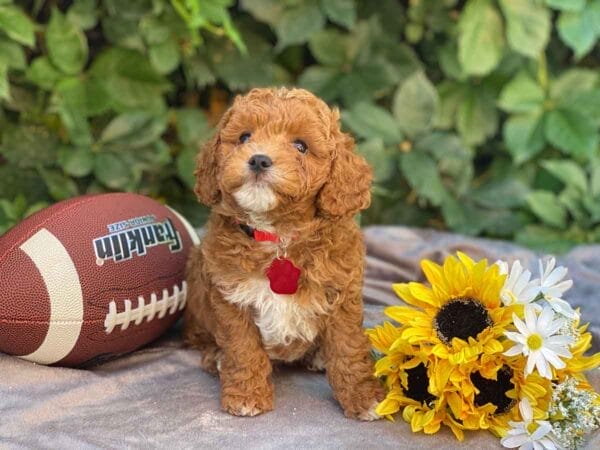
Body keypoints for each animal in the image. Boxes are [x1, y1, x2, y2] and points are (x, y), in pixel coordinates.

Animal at [183, 87, 386, 418]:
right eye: (244, 137)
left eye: (301, 146)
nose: (259, 160)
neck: (278, 237)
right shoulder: (229, 298)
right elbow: (242, 348)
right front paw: (247, 396)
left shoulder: (341, 296)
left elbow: (348, 349)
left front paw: (364, 396)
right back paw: (216, 357)